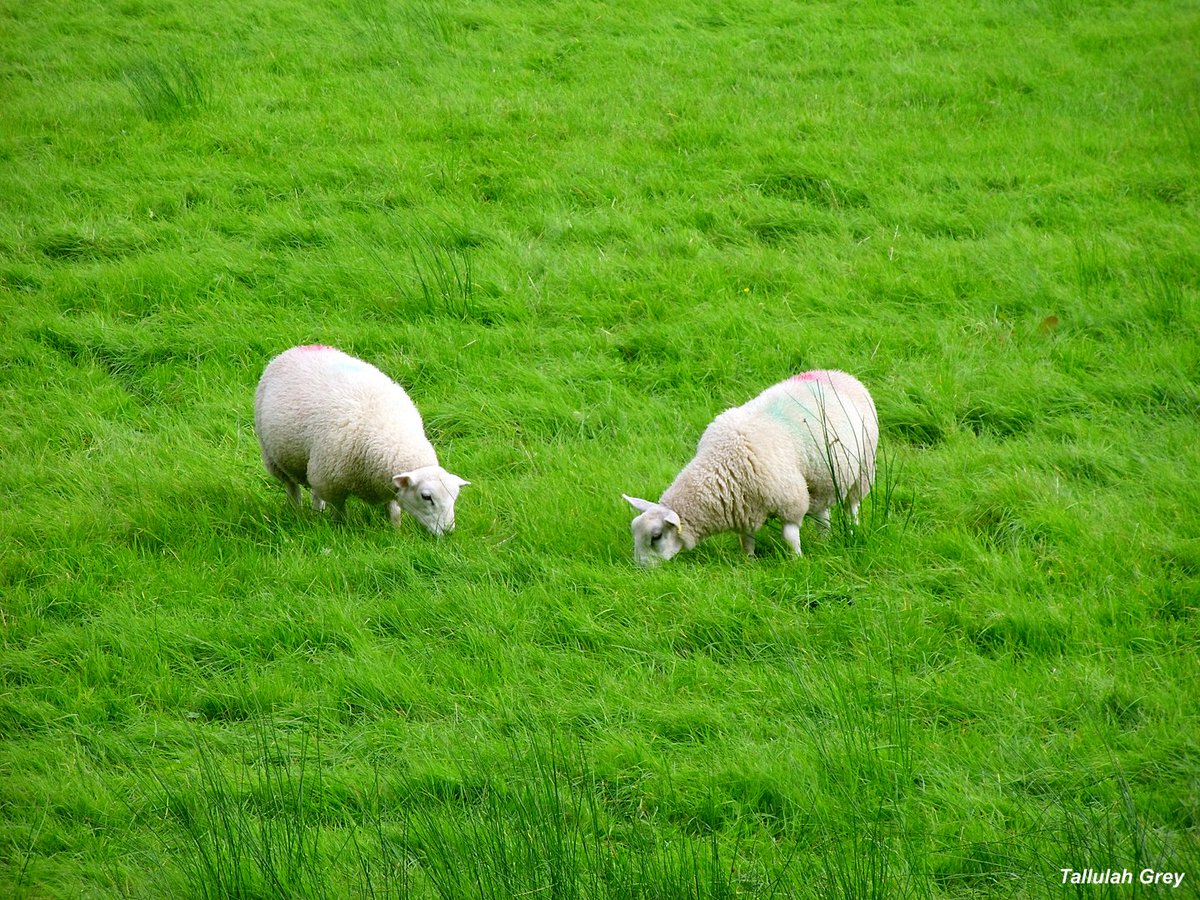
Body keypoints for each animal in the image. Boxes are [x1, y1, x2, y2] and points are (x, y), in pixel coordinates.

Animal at [254, 345, 469, 535]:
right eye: (426, 497)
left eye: (455, 496)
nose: (448, 532)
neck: (392, 437)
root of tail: (299, 348)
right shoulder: (332, 483)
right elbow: (339, 513)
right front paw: (341, 531)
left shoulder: (386, 483)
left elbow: (394, 511)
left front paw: (395, 531)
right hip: (276, 457)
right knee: (292, 487)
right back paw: (297, 512)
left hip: (314, 461)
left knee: (314, 491)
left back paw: (316, 513)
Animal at [622, 370, 877, 566]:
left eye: (656, 536)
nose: (641, 570)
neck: (722, 463)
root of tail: (837, 373)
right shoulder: (743, 507)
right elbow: (747, 539)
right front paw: (749, 561)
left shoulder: (790, 500)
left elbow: (790, 536)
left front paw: (797, 560)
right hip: (821, 479)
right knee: (822, 513)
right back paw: (825, 540)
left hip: (863, 468)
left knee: (851, 507)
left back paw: (852, 531)